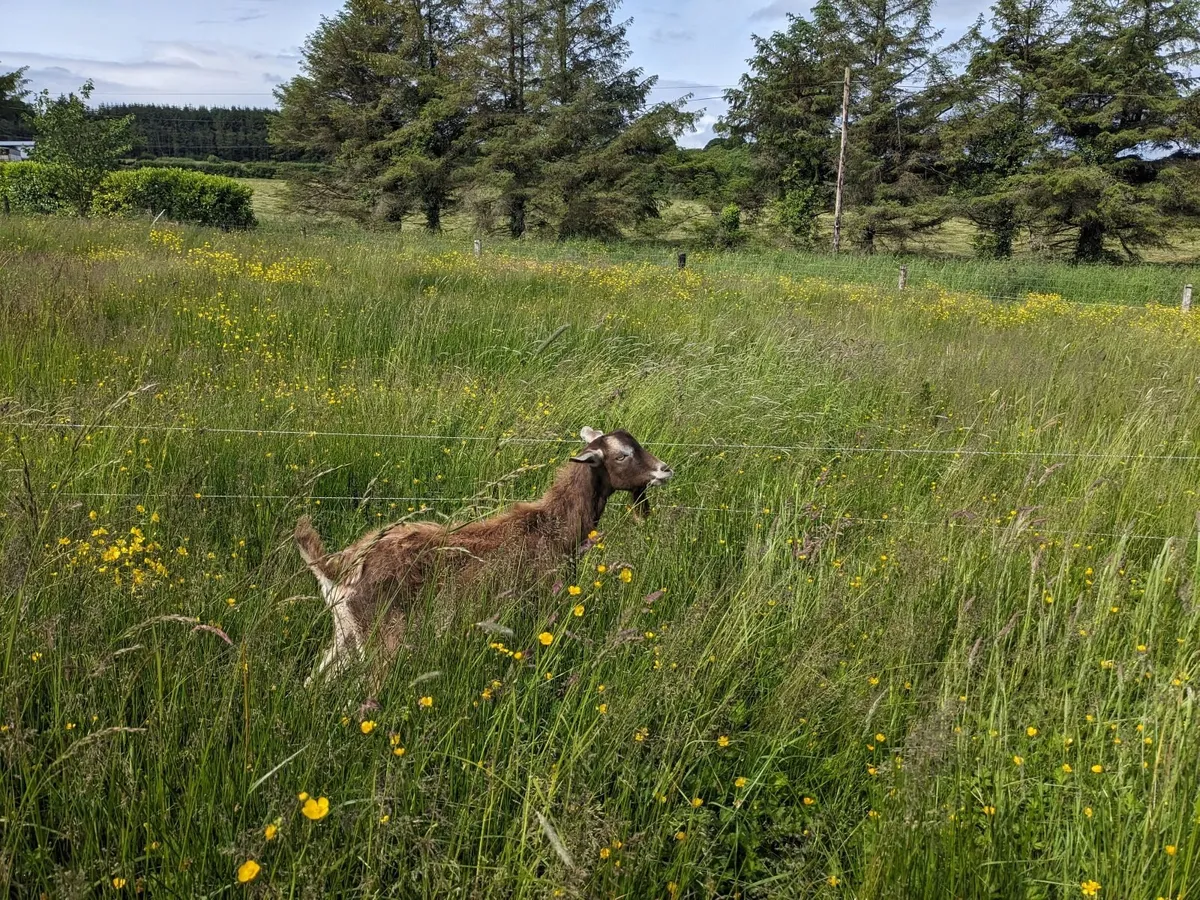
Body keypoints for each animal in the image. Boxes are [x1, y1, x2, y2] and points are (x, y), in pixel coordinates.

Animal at [294, 427, 674, 684]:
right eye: (622, 455)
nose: (665, 469)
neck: (552, 528)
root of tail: (340, 569)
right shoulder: (542, 602)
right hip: (383, 639)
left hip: (345, 636)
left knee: (314, 682)